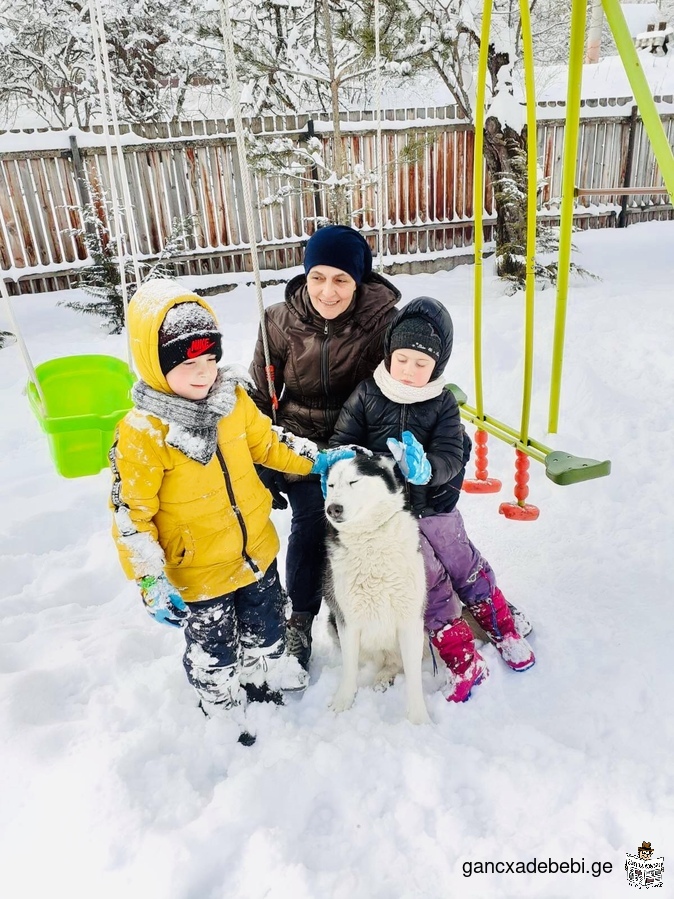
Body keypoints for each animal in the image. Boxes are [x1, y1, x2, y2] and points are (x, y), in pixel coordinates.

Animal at [322, 458, 428, 724]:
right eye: (330, 485)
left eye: (354, 481)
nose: (333, 509)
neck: (369, 539)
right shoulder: (347, 621)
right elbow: (349, 669)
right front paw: (343, 702)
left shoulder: (411, 620)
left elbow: (414, 677)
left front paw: (419, 720)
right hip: (332, 622)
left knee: (397, 663)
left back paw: (384, 677)